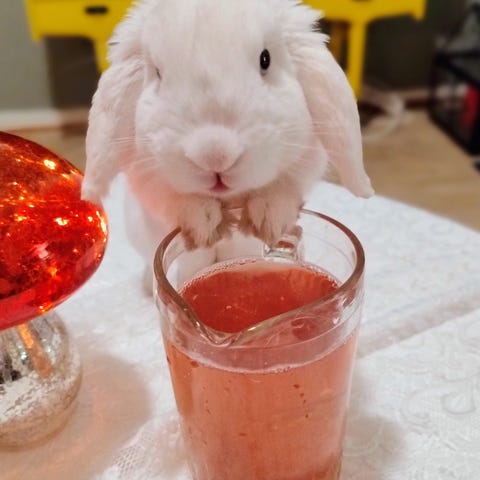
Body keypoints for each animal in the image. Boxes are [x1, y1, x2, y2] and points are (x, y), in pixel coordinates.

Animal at [82, 0, 373, 279]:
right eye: (157, 73)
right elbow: (174, 197)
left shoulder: (305, 160)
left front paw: (268, 220)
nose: (215, 156)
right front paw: (204, 225)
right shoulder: (144, 177)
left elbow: (284, 185)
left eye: (265, 59)